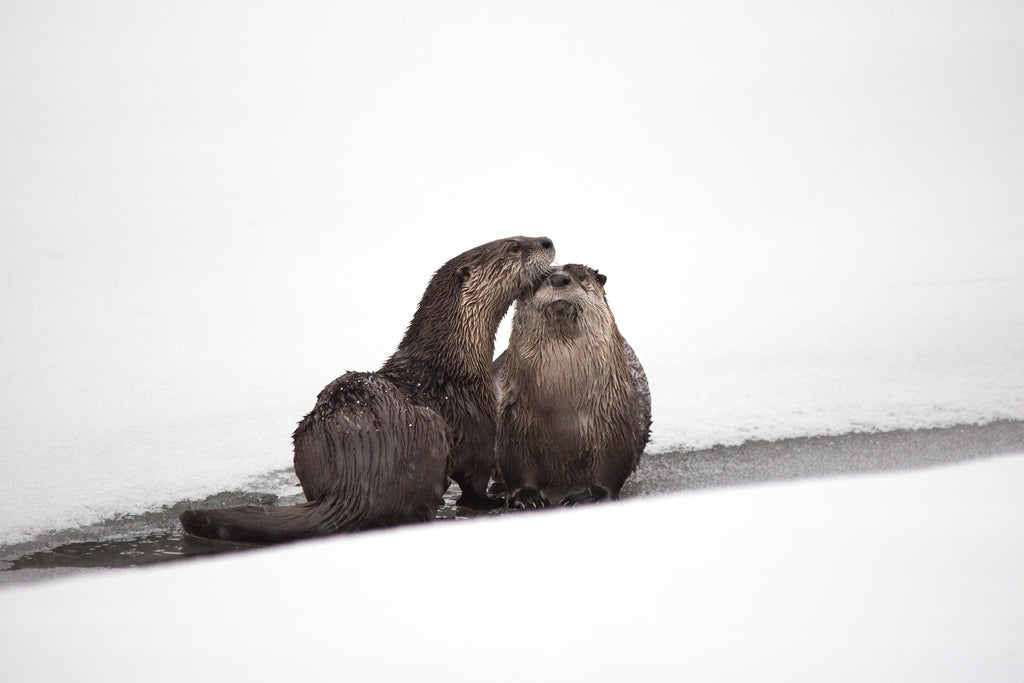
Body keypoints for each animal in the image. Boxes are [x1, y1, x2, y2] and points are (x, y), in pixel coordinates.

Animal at [180, 236, 555, 543]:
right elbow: (473, 485)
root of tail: (350, 482)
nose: (547, 240)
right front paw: (496, 500)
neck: (453, 363)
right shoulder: (476, 422)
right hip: (429, 432)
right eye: (514, 246)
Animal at [494, 264, 651, 509]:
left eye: (581, 276)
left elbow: (609, 464)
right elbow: (517, 462)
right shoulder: (515, 416)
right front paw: (527, 497)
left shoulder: (614, 415)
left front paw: (591, 496)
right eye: (537, 279)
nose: (559, 278)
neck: (561, 402)